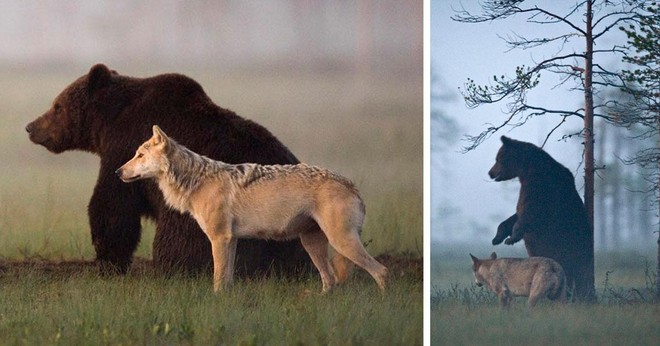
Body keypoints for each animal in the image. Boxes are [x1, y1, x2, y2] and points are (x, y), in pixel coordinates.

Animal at [25, 63, 312, 278]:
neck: (109, 121)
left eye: (57, 106)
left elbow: (113, 205)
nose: (31, 126)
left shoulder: (123, 148)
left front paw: (109, 261)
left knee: (179, 239)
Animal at [117, 125, 386, 292]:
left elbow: (218, 278)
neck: (197, 181)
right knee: (330, 281)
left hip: (341, 242)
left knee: (381, 271)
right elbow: (227, 279)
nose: (118, 172)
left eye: (139, 155)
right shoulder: (231, 240)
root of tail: (352, 185)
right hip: (313, 244)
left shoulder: (220, 238)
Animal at [488, 137, 596, 302]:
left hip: (569, 250)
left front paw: (511, 238)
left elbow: (530, 214)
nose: (490, 172)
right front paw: (498, 237)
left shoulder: (542, 189)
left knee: (573, 272)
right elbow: (516, 215)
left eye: (498, 158)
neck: (527, 170)